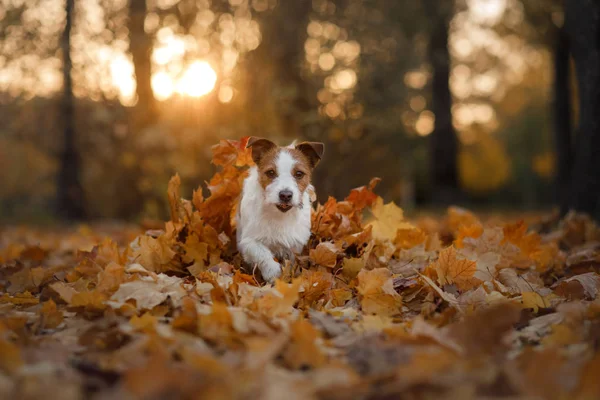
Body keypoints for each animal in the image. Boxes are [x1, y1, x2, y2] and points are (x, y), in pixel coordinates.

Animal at [237, 139, 326, 282]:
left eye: (299, 174)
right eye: (270, 172)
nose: (285, 195)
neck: (278, 214)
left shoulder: (295, 244)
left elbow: (292, 262)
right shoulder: (248, 241)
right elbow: (260, 252)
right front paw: (272, 271)